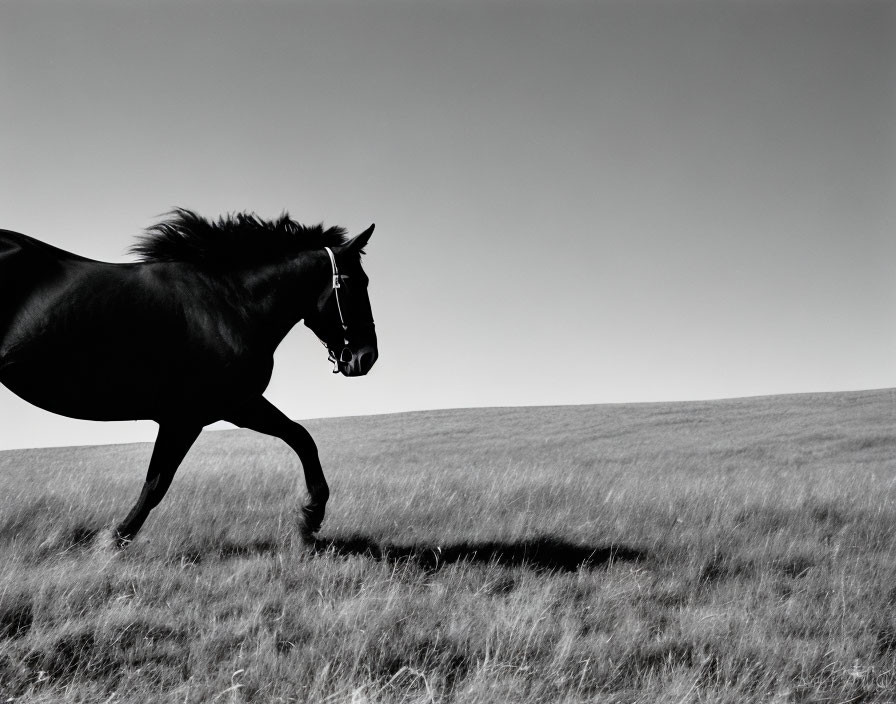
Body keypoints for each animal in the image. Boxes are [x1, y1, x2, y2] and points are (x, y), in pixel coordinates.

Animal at [0, 209, 376, 552]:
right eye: (357, 284)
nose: (366, 357)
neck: (228, 303)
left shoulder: (236, 406)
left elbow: (301, 438)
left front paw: (309, 520)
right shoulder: (190, 417)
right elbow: (156, 484)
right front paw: (113, 540)